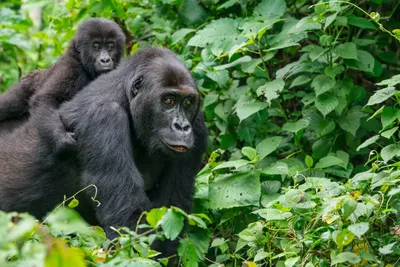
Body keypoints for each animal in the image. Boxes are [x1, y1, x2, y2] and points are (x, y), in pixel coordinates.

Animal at [0, 18, 125, 153]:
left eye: (110, 47)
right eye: (96, 47)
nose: (105, 60)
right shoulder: (70, 68)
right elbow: (45, 98)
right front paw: (61, 137)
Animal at [0, 47, 208, 243]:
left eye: (188, 102)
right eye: (168, 100)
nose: (182, 127)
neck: (127, 99)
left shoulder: (197, 125)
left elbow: (173, 212)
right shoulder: (104, 116)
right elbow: (128, 222)